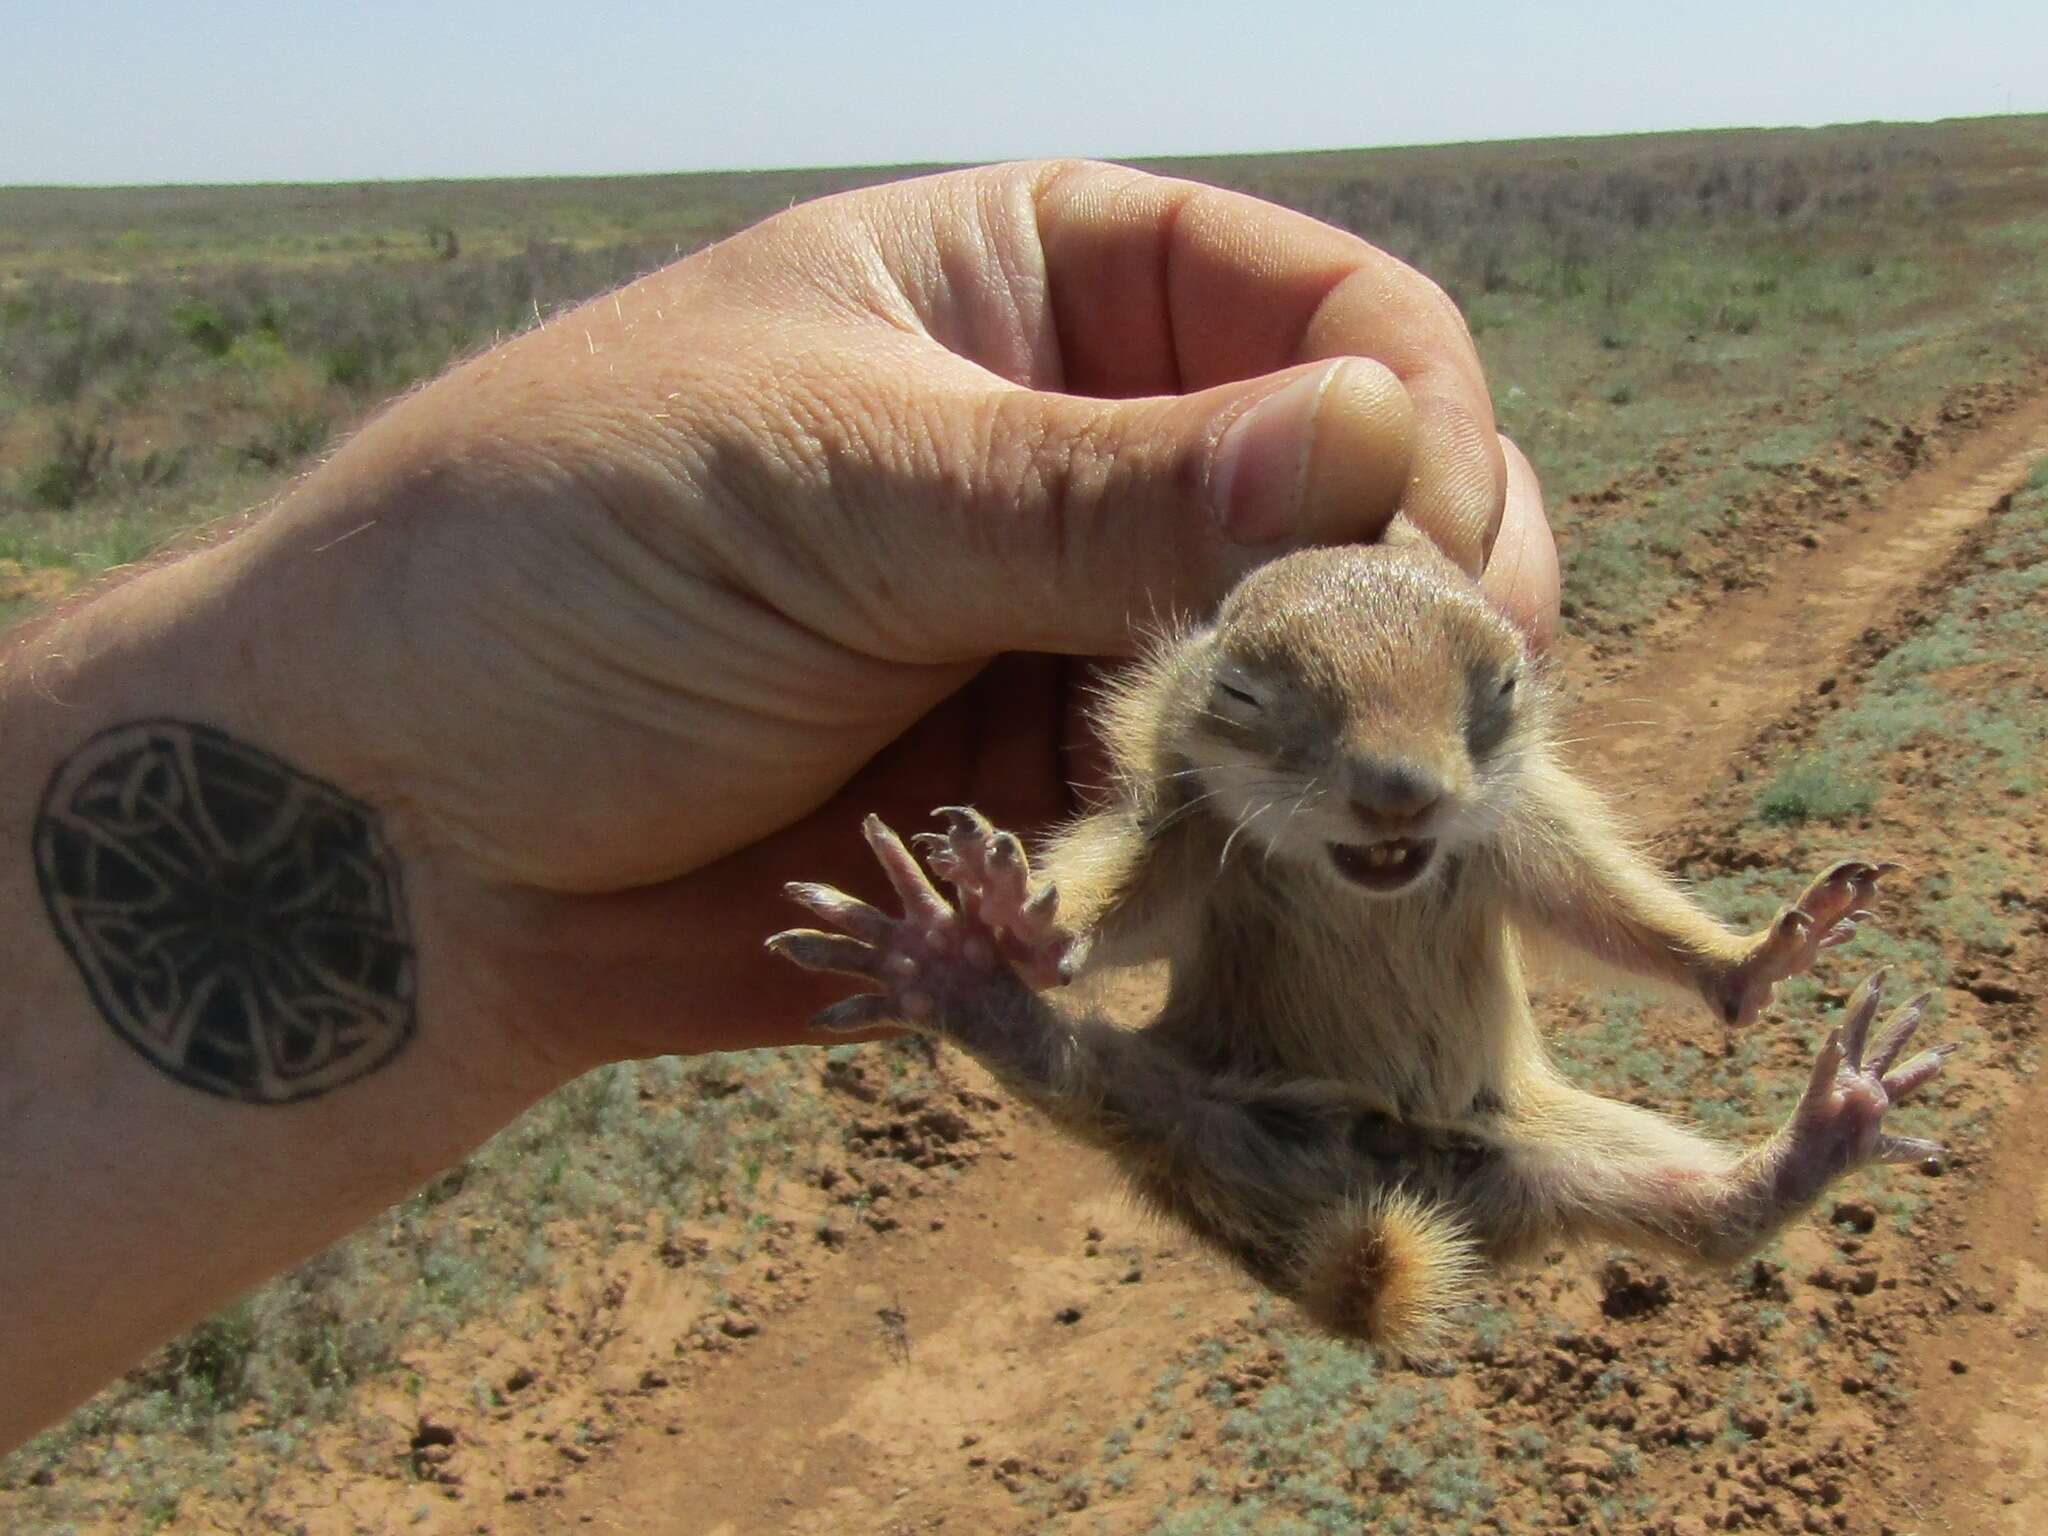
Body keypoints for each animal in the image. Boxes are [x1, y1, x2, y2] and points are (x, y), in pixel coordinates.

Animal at [770, 524, 1949, 1351]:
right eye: (1240, 691)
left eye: (1501, 685)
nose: (1399, 791)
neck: (1366, 885)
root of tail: (1380, 1196)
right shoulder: (1187, 828)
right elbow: (1114, 904)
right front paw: (1010, 911)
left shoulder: (1520, 829)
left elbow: (1604, 906)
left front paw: (1764, 954)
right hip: (1171, 1119)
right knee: (1058, 1064)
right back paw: (946, 969)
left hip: (1564, 1158)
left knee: (1710, 1222)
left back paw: (1836, 1121)